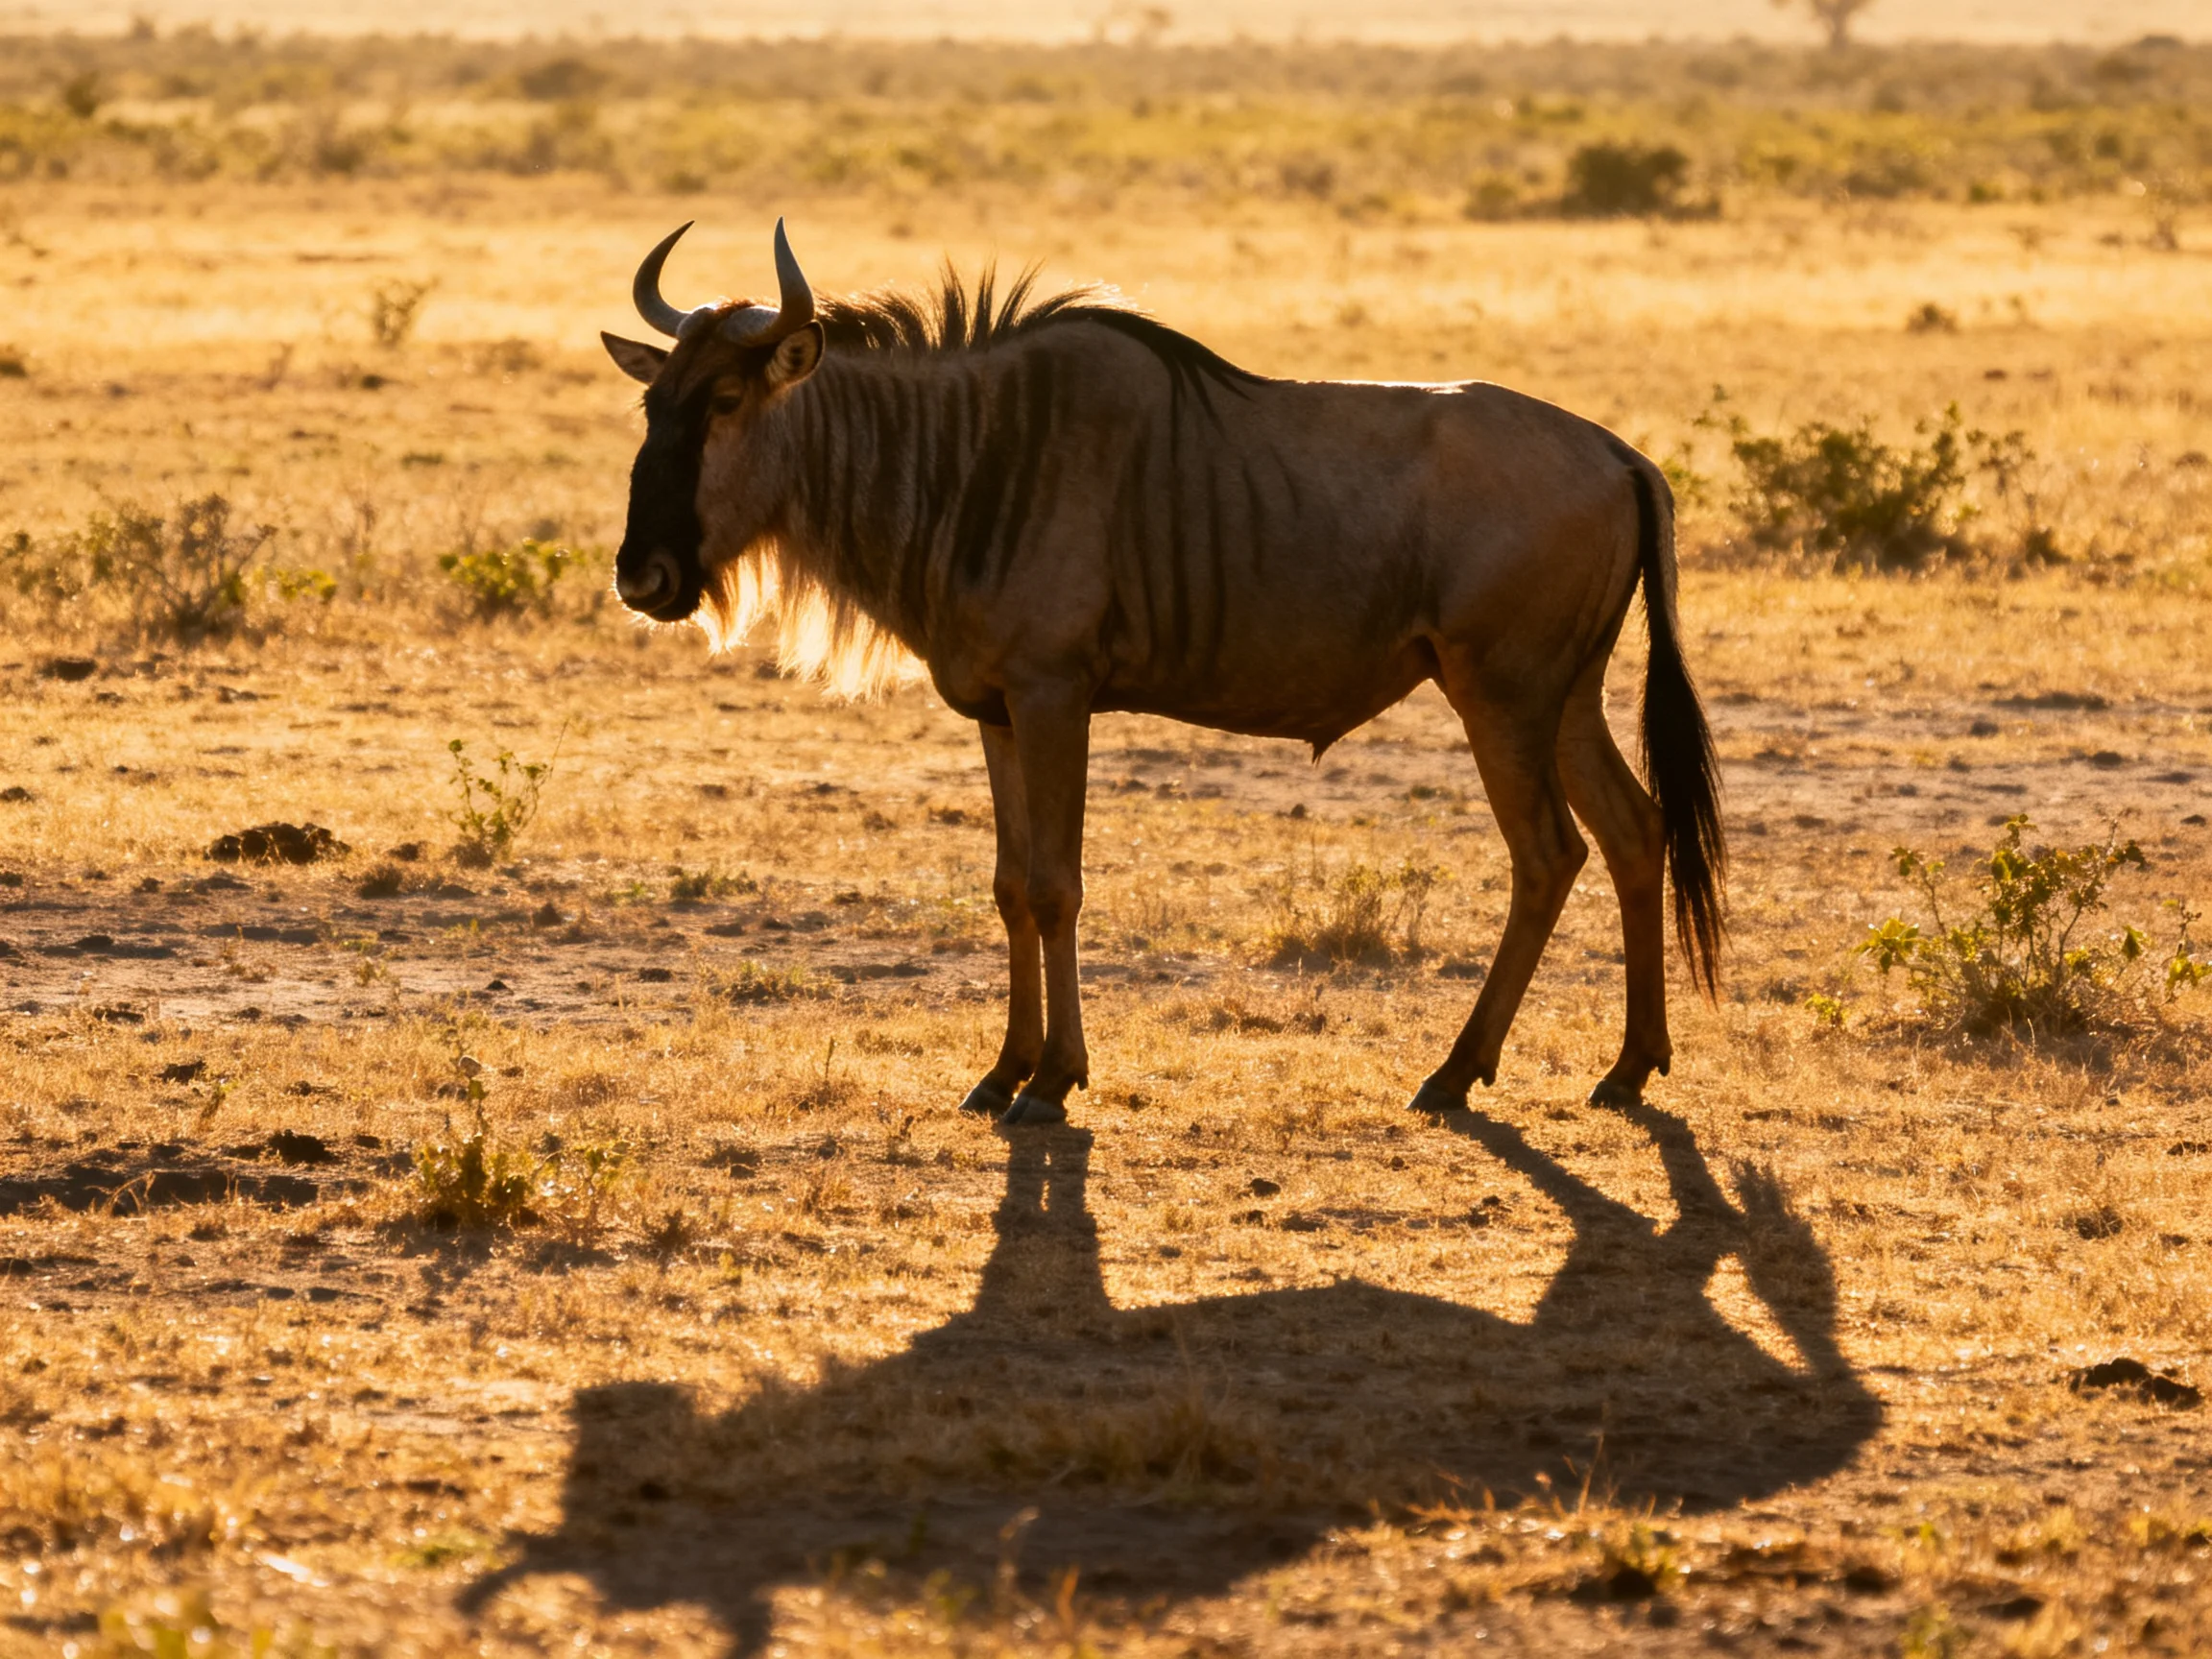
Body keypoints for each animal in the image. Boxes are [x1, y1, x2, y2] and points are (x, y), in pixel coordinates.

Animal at [602, 221, 1724, 1127]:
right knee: (1635, 833)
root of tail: (1619, 454)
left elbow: (1056, 885)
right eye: (653, 404)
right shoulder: (996, 710)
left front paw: (1054, 1082)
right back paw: (1627, 1068)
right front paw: (1000, 1072)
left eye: (728, 399)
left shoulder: (1056, 698)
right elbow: (1008, 885)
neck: (971, 456)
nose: (641, 575)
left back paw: (1455, 1073)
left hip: (1502, 695)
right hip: (1566, 699)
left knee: (1548, 854)